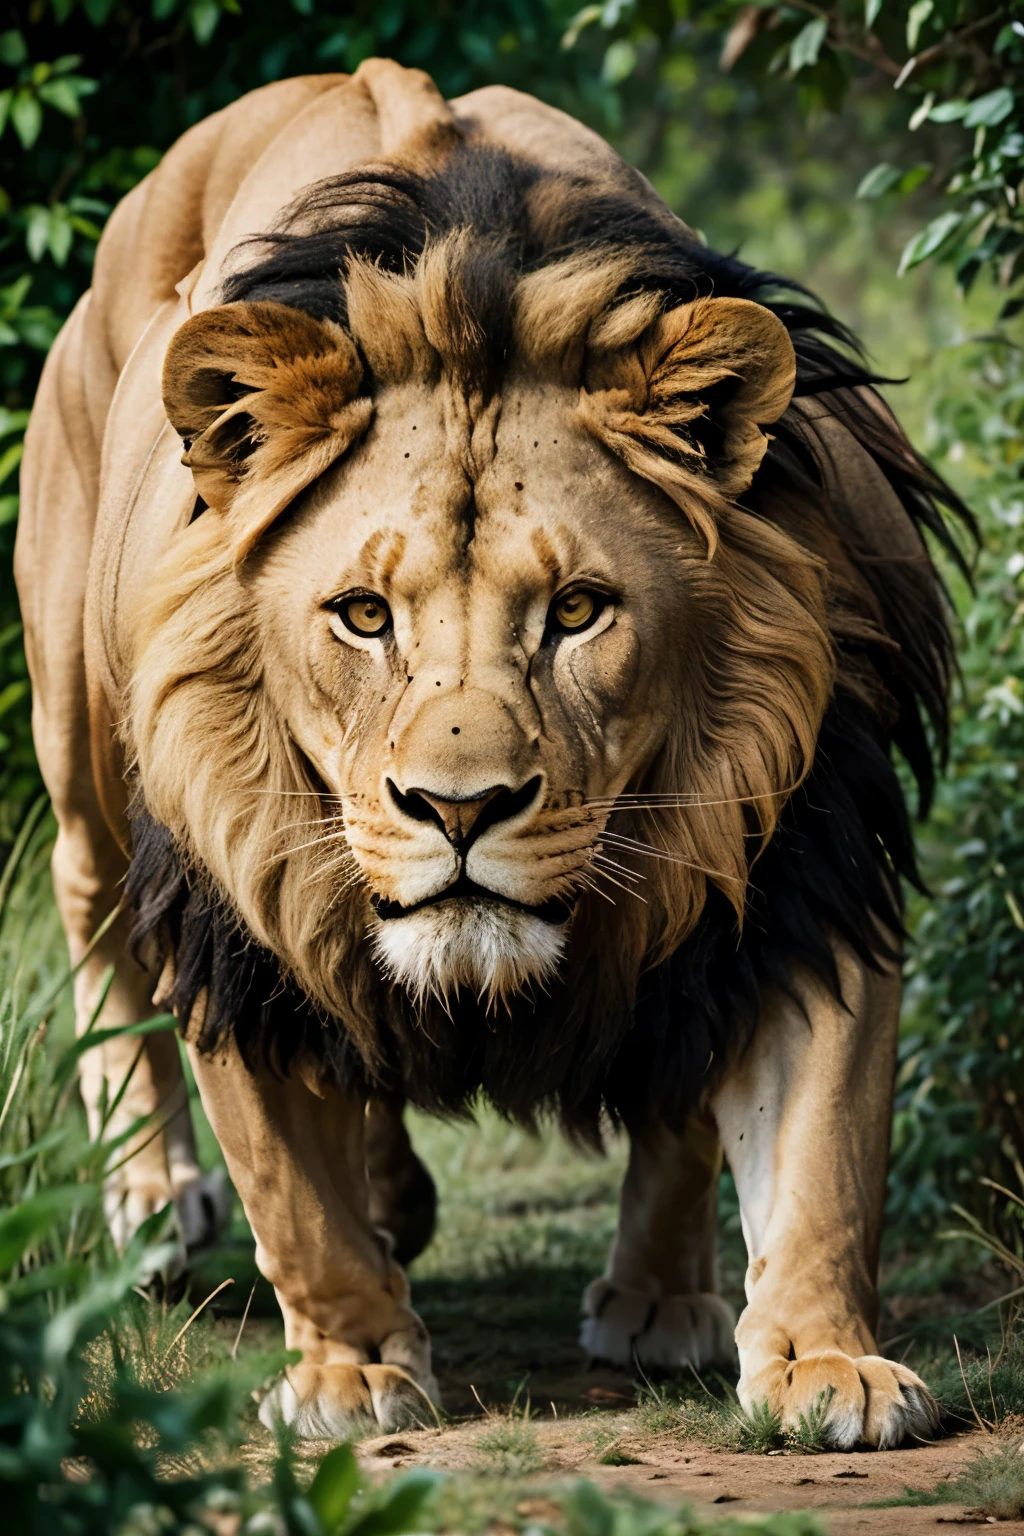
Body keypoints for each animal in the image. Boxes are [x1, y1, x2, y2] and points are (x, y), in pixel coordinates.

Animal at [20, 62, 976, 1449]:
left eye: (576, 610)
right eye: (365, 615)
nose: (458, 809)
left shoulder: (800, 867)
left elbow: (817, 1156)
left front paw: (817, 1359)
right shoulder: (235, 887)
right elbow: (289, 1193)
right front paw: (350, 1371)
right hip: (79, 736)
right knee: (91, 913)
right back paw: (154, 1197)